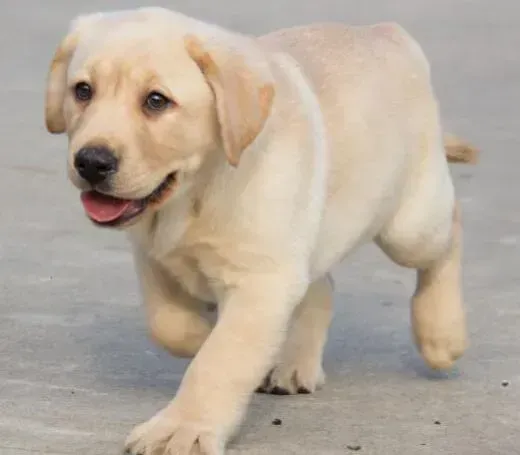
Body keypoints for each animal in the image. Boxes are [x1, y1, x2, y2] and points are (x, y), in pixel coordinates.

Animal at [44, 7, 480, 455]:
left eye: (156, 101)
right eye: (82, 91)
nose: (91, 162)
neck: (195, 192)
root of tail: (385, 31)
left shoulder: (260, 280)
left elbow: (219, 359)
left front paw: (183, 427)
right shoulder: (153, 256)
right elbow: (167, 323)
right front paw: (201, 335)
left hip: (409, 225)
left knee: (451, 229)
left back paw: (442, 334)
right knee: (320, 286)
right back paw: (294, 365)